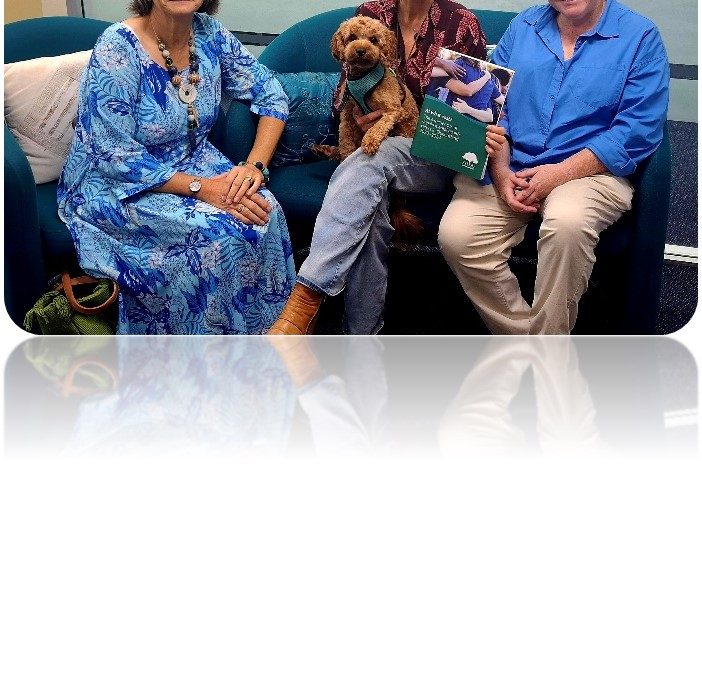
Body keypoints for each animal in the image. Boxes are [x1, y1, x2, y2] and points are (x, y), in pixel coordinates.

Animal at [314, 16, 423, 237]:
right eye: (352, 37)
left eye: (373, 39)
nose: (361, 50)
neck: (364, 77)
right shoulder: (347, 114)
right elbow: (345, 140)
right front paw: (346, 156)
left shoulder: (391, 111)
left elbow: (377, 128)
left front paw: (370, 142)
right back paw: (323, 150)